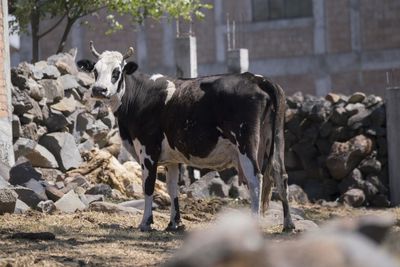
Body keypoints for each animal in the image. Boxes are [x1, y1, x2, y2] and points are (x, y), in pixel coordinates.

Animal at [78, 42, 296, 232]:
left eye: (117, 72)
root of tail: (256, 78)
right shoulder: (171, 158)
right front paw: (175, 223)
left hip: (246, 143)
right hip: (278, 140)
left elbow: (148, 186)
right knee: (281, 175)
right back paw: (288, 224)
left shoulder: (148, 151)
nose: (98, 90)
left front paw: (146, 223)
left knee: (255, 178)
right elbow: (172, 188)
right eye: (94, 70)